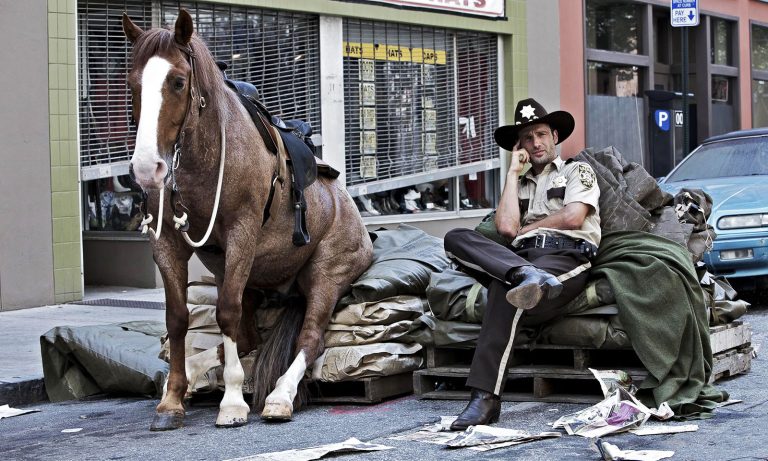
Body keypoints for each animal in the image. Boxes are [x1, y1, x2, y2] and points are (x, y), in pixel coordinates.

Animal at [121, 9, 373, 430]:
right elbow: (177, 319)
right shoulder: (167, 242)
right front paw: (172, 399)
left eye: (178, 81)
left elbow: (226, 313)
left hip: (327, 275)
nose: (145, 168)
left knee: (309, 338)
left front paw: (233, 402)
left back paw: (280, 396)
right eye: (132, 83)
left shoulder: (241, 233)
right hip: (250, 279)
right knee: (246, 340)